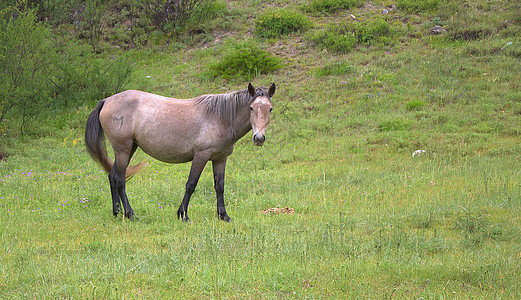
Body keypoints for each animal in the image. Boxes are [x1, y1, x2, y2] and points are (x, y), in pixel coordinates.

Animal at [84, 83, 276, 221]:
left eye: (270, 108)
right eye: (251, 108)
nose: (259, 138)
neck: (220, 117)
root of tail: (107, 100)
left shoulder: (220, 158)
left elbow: (220, 187)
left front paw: (223, 215)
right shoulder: (201, 156)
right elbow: (191, 184)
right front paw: (182, 214)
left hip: (129, 148)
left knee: (112, 176)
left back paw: (117, 212)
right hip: (123, 149)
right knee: (119, 179)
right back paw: (130, 214)